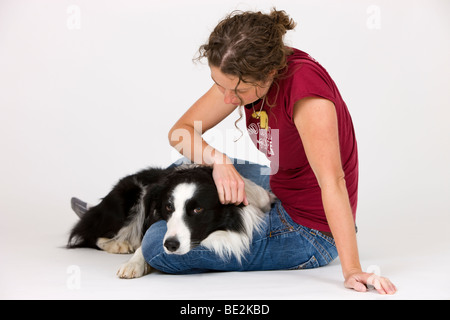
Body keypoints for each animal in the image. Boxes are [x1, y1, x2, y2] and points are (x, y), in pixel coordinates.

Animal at [68, 165, 272, 278]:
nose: (171, 245)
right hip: (128, 197)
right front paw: (133, 264)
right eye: (168, 207)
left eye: (197, 210)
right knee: (91, 233)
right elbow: (145, 245)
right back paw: (120, 245)